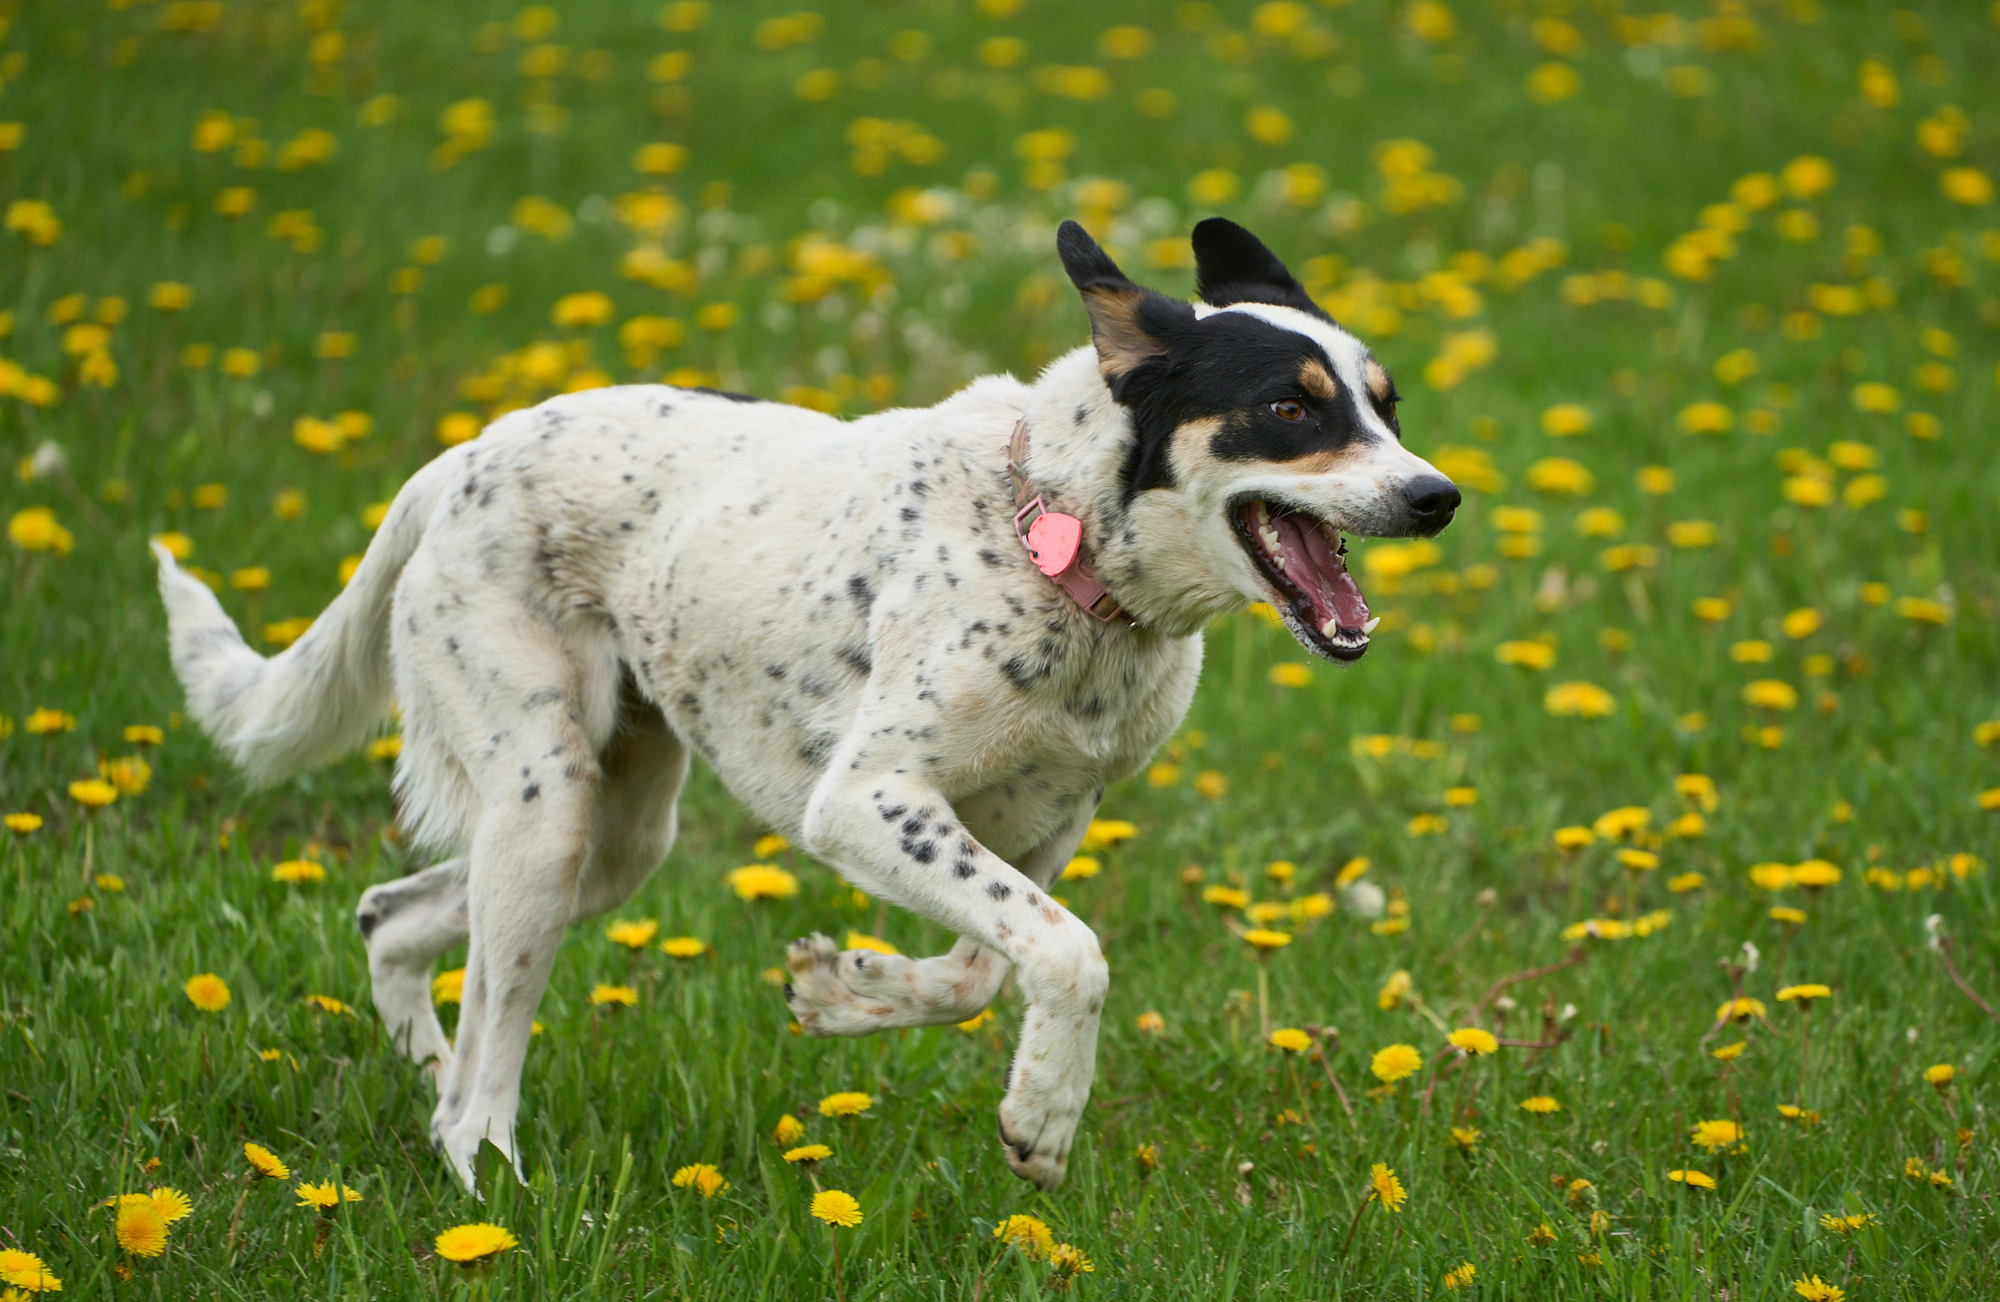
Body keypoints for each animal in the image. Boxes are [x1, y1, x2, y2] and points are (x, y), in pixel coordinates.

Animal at [152, 219, 1456, 1200]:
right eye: (1289, 411)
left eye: (1385, 408)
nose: (1435, 496)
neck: (1057, 538)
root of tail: (459, 458)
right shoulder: (867, 800)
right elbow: (1068, 952)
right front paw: (1043, 1117)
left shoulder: (1044, 823)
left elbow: (988, 969)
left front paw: (846, 992)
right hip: (546, 801)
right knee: (485, 1064)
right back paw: (491, 1188)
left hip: (613, 834)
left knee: (392, 920)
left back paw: (427, 1087)